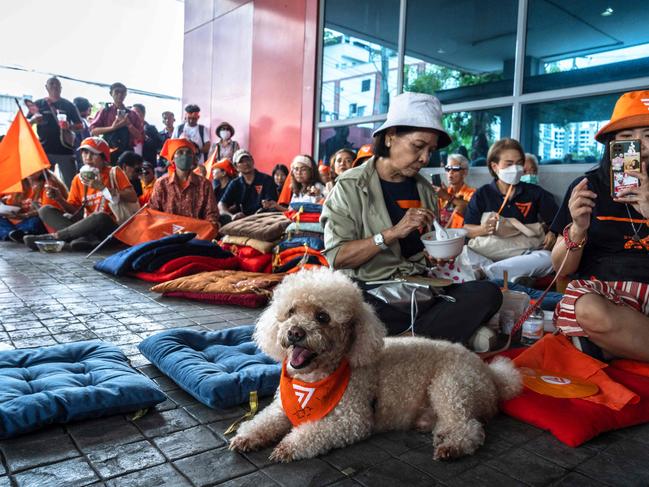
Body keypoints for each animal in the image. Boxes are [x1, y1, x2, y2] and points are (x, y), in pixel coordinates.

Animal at [229, 268, 520, 464]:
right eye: (290, 312)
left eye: (322, 317)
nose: (294, 333)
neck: (313, 380)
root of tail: (492, 373)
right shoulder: (281, 407)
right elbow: (262, 420)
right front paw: (248, 437)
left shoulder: (353, 421)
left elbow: (313, 433)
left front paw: (287, 446)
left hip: (452, 385)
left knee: (469, 428)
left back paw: (453, 446)